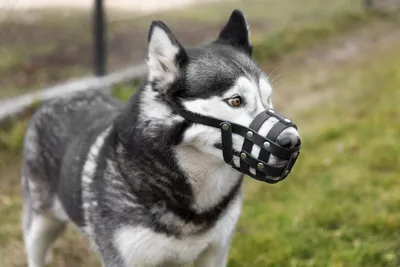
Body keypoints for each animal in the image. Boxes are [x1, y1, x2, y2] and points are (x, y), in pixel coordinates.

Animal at [19, 9, 300, 266]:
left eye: (268, 99)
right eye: (235, 101)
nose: (293, 142)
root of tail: (61, 95)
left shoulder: (215, 252)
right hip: (39, 227)